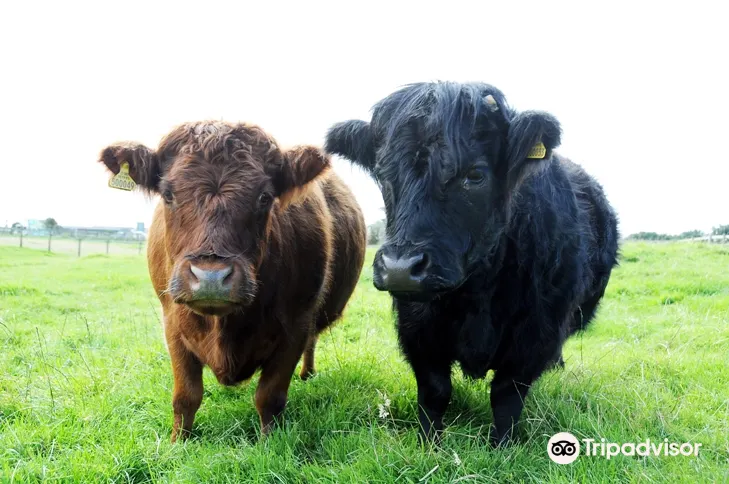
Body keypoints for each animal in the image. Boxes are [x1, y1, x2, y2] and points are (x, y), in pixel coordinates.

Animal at [98, 121, 367, 442]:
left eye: (265, 197)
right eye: (168, 194)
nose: (211, 277)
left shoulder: (297, 323)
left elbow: (270, 397)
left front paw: (269, 443)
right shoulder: (172, 322)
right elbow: (186, 395)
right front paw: (178, 442)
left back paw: (307, 375)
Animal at [324, 81, 619, 447]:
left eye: (475, 174)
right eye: (382, 173)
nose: (400, 269)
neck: (476, 294)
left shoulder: (537, 331)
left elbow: (506, 394)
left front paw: (503, 446)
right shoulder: (416, 328)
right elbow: (435, 390)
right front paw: (430, 444)